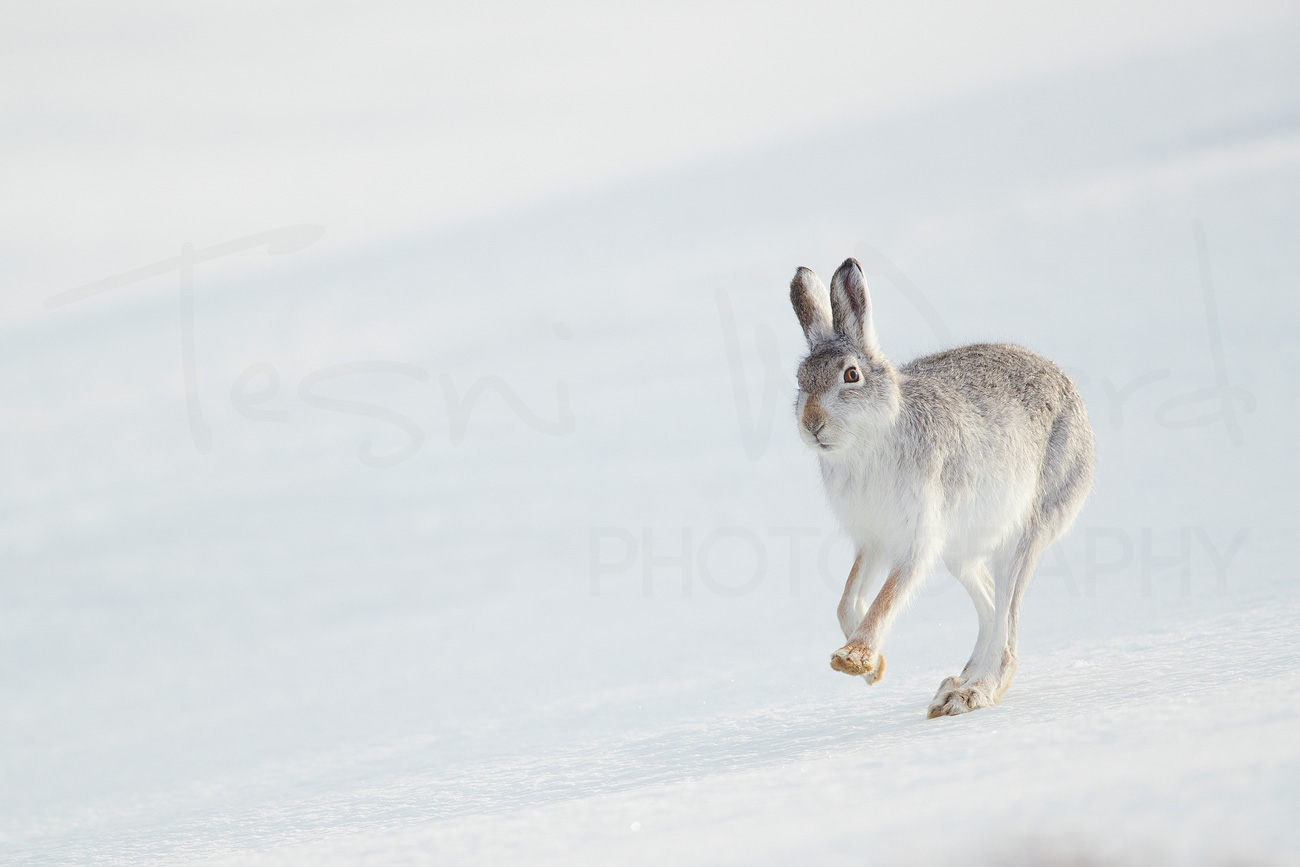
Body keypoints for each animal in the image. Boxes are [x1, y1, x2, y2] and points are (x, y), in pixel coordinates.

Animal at [789, 258, 1095, 717]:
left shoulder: (920, 536)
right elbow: (846, 599)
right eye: (800, 379)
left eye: (851, 375)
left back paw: (973, 692)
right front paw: (872, 669)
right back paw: (955, 686)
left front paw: (853, 657)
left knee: (1007, 625)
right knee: (991, 607)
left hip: (1027, 530)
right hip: (961, 554)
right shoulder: (873, 539)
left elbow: (888, 596)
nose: (812, 425)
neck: (871, 440)